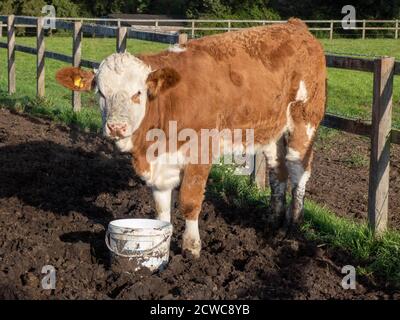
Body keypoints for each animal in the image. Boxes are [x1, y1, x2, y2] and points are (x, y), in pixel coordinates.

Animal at [55, 18, 324, 258]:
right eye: (100, 93)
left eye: (138, 93)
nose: (116, 126)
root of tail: (294, 25)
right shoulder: (160, 165)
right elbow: (161, 210)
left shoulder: (201, 151)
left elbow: (189, 201)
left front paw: (191, 246)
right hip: (271, 130)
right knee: (277, 171)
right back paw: (272, 221)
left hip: (305, 120)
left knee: (299, 171)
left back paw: (291, 226)